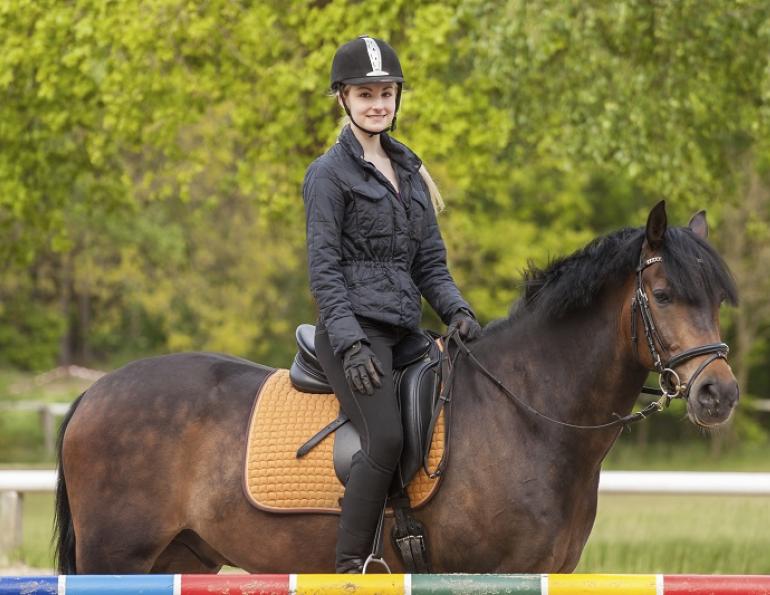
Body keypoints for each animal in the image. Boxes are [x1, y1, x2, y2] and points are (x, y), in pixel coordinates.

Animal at [54, 200, 739, 574]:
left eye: (716, 300)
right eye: (664, 295)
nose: (719, 394)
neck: (528, 414)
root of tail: (94, 394)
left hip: (178, 557)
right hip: (117, 557)